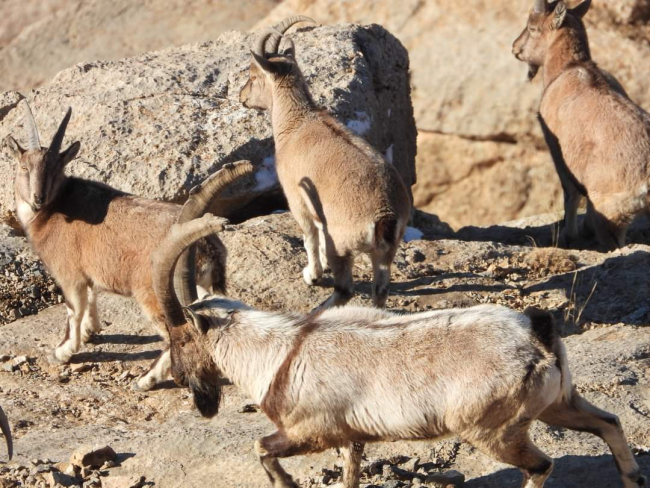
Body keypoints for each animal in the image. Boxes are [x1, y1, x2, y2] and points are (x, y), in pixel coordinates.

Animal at [4, 100, 253, 392]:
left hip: (153, 293)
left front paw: (62, 352)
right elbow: (91, 299)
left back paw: (146, 380)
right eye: (24, 167)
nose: (38, 198)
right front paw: (90, 332)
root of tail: (209, 248)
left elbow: (73, 310)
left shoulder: (69, 274)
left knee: (174, 332)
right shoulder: (88, 273)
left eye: (56, 169)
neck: (54, 210)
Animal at [238, 19, 410, 308]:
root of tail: (385, 215)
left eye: (253, 76)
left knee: (345, 289)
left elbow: (309, 236)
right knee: (380, 288)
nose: (242, 97)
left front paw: (313, 274)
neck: (297, 123)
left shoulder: (297, 199)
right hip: (385, 252)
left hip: (341, 245)